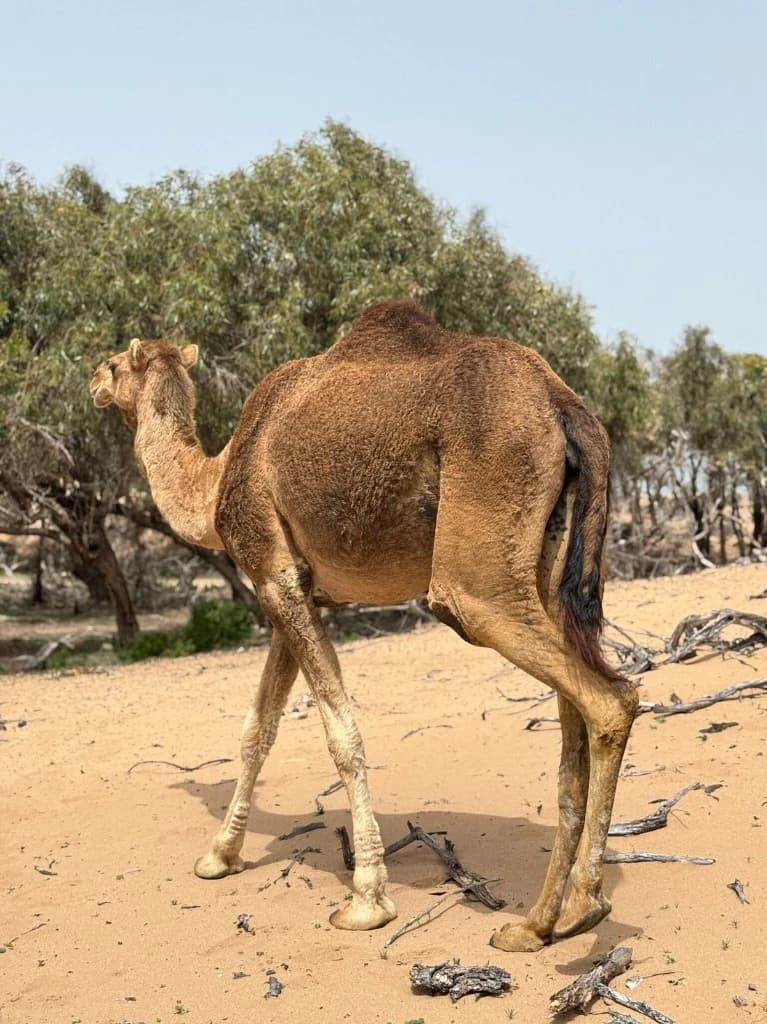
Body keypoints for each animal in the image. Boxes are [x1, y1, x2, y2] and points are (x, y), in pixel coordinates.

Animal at [89, 300, 637, 952]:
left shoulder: (273, 577)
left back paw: (582, 907)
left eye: (113, 363)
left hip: (476, 575)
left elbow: (340, 736)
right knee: (575, 715)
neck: (216, 478)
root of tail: (565, 405)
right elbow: (258, 730)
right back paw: (536, 924)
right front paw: (220, 856)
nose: (92, 381)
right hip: (550, 565)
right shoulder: (294, 587)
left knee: (610, 698)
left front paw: (366, 899)